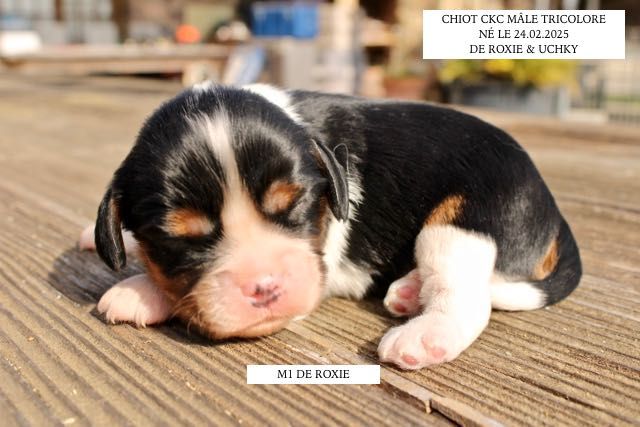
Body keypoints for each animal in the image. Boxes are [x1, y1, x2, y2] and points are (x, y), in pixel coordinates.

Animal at [79, 82, 580, 370]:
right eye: (180, 237)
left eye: (296, 204)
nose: (265, 286)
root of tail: (551, 204)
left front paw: (140, 289)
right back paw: (408, 291)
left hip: (464, 222)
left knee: (470, 294)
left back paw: (425, 334)